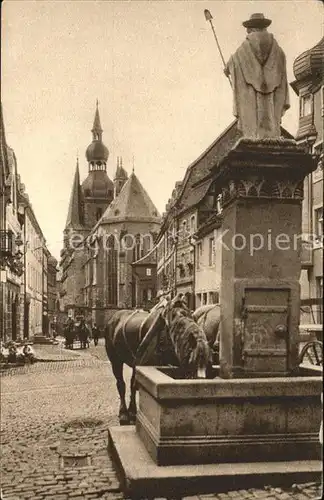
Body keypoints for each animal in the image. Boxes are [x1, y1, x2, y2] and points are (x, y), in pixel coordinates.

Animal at [104, 292, 213, 426]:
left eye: (209, 363)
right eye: (192, 362)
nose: (201, 382)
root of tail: (113, 318)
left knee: (131, 383)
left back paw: (132, 412)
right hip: (115, 360)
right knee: (121, 384)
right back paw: (124, 414)